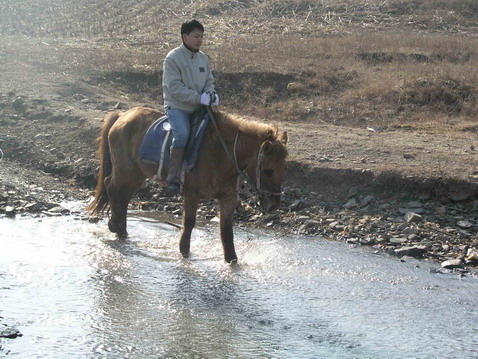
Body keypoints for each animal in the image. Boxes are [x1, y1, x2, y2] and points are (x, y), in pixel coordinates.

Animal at [87, 105, 288, 262]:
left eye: (283, 168)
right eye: (268, 170)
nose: (273, 205)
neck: (220, 153)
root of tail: (122, 115)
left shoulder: (228, 198)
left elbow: (226, 230)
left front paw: (231, 259)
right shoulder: (192, 193)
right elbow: (190, 222)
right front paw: (184, 251)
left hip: (136, 174)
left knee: (123, 195)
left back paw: (121, 229)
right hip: (127, 171)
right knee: (112, 187)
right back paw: (116, 226)